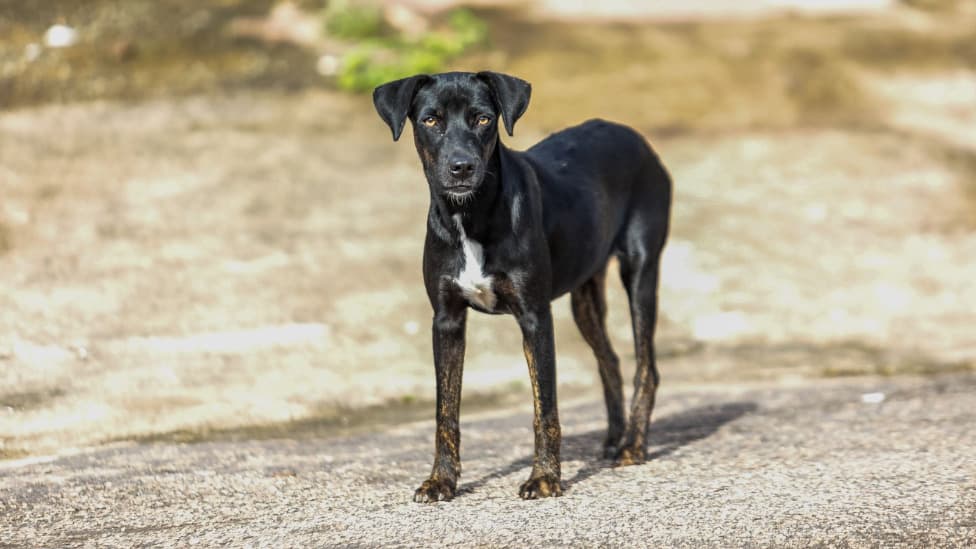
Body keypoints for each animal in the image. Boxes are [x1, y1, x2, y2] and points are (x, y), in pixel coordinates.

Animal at [374, 71, 672, 500]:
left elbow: (544, 406)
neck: (470, 216)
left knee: (646, 366)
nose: (461, 167)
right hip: (584, 294)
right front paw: (441, 480)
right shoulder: (446, 320)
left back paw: (633, 445)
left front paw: (545, 477)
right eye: (431, 120)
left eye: (483, 119)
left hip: (640, 270)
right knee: (610, 361)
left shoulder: (534, 316)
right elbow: (445, 411)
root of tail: (633, 135)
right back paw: (615, 438)